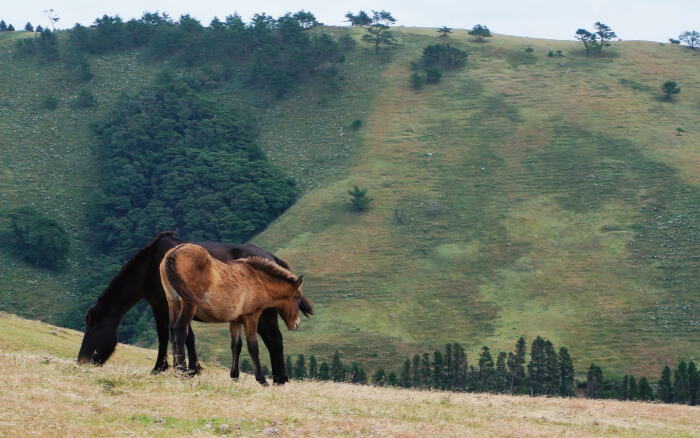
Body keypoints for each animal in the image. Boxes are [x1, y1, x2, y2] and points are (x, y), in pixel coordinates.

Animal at [77, 231, 296, 384]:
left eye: (94, 332)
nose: (82, 361)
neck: (150, 265)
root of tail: (272, 257)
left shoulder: (172, 305)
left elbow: (175, 335)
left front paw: (171, 368)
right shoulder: (160, 305)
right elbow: (173, 335)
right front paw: (185, 368)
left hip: (267, 313)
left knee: (276, 339)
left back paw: (281, 378)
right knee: (270, 340)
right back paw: (277, 377)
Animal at [160, 245, 314, 384]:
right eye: (298, 299)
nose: (296, 324)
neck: (257, 278)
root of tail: (173, 254)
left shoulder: (235, 320)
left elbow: (236, 346)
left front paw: (235, 376)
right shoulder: (251, 317)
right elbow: (253, 347)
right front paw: (262, 380)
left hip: (173, 303)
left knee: (172, 332)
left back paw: (176, 370)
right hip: (188, 305)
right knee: (180, 331)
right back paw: (182, 371)